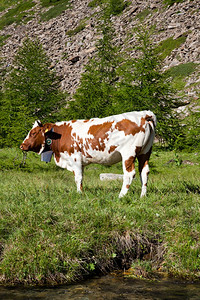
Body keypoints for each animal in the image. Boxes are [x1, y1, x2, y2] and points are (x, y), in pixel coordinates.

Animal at [20, 110, 156, 197]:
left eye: (33, 133)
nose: (22, 145)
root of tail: (144, 114)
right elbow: (80, 178)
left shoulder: (75, 159)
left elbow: (78, 178)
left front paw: (79, 194)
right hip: (145, 152)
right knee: (144, 172)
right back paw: (142, 196)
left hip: (128, 153)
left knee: (129, 174)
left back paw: (121, 195)